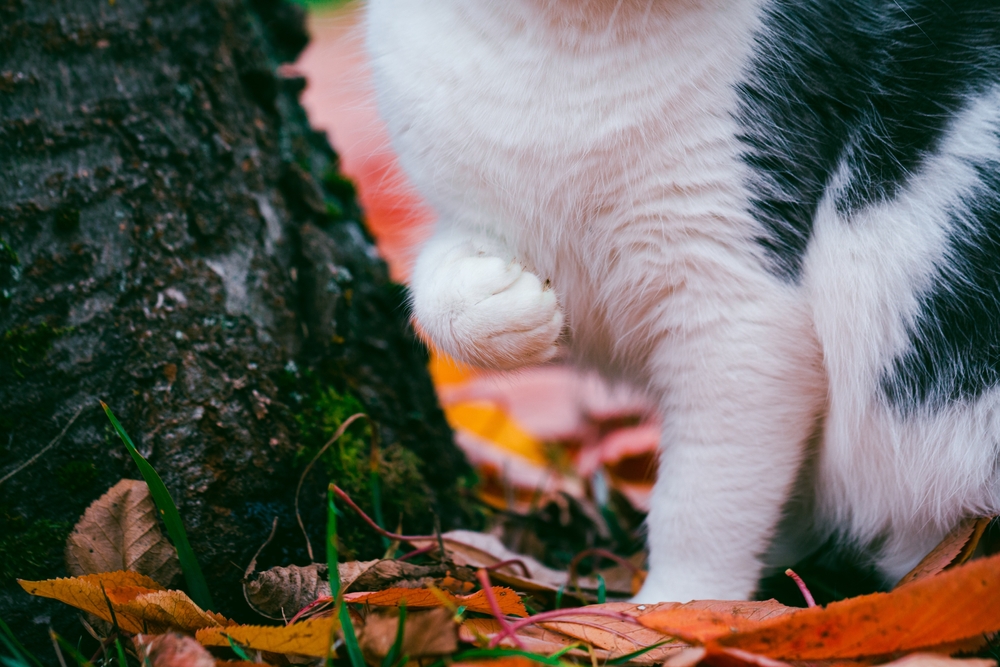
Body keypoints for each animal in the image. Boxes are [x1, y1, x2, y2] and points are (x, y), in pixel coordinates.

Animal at [364, 0, 1000, 604]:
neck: (565, 51)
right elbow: (433, 281)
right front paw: (500, 307)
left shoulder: (737, 308)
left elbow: (703, 499)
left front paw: (676, 612)